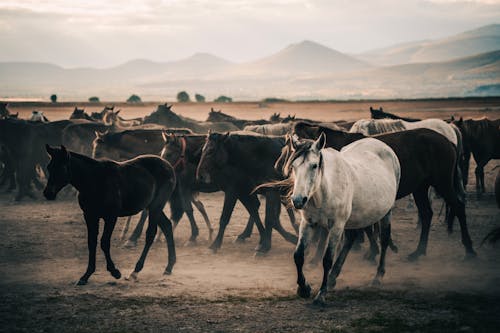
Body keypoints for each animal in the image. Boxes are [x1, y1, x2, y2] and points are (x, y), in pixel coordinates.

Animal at [42, 144, 178, 284]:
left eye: (61, 167)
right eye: (49, 167)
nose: (48, 193)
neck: (94, 181)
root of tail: (168, 165)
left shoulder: (110, 217)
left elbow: (104, 242)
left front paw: (114, 271)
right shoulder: (90, 216)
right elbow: (92, 242)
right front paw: (86, 275)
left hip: (156, 206)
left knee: (151, 234)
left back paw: (135, 271)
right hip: (152, 207)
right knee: (167, 226)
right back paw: (169, 267)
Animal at [288, 132, 400, 304]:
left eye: (314, 166)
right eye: (293, 166)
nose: (298, 200)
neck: (325, 191)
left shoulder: (336, 225)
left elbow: (327, 259)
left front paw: (321, 295)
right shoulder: (308, 223)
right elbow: (298, 255)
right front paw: (304, 288)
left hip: (386, 212)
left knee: (384, 239)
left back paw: (378, 277)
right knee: (350, 239)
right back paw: (333, 278)